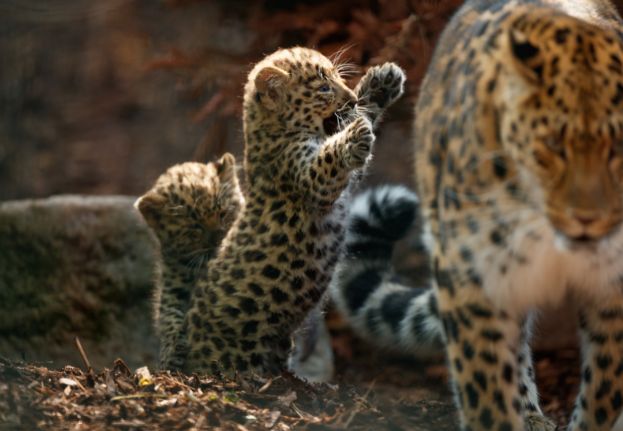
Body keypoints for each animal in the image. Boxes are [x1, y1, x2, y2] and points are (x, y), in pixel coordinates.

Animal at [136, 153, 244, 372]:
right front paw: (171, 353)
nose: (218, 241)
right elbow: (169, 315)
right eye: (195, 226)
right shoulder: (172, 284)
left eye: (223, 213)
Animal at [178, 47, 408, 376]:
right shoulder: (310, 180)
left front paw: (381, 84)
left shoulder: (346, 184)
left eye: (339, 78)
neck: (271, 132)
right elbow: (329, 160)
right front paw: (354, 132)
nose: (351, 98)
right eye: (323, 88)